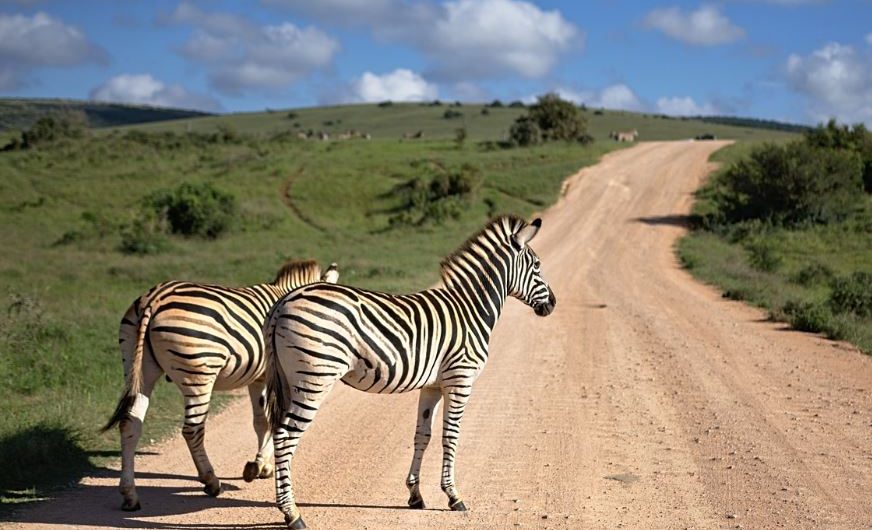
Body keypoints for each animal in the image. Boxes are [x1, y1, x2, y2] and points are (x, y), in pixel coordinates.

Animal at [103, 259, 339, 512]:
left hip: (138, 368)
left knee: (130, 424)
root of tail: (154, 298)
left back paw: (130, 495)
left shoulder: (259, 378)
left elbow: (261, 421)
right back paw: (211, 481)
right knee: (192, 430)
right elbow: (273, 421)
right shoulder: (274, 376)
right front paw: (260, 465)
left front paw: (260, 466)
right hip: (198, 373)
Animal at [264, 216, 556, 529]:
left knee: (278, 431)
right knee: (285, 436)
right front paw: (454, 496)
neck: (470, 310)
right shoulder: (460, 379)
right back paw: (292, 513)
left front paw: (415, 495)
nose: (552, 304)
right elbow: (451, 435)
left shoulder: (433, 386)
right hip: (314, 379)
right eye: (537, 265)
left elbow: (423, 435)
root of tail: (284, 301)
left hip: (290, 380)